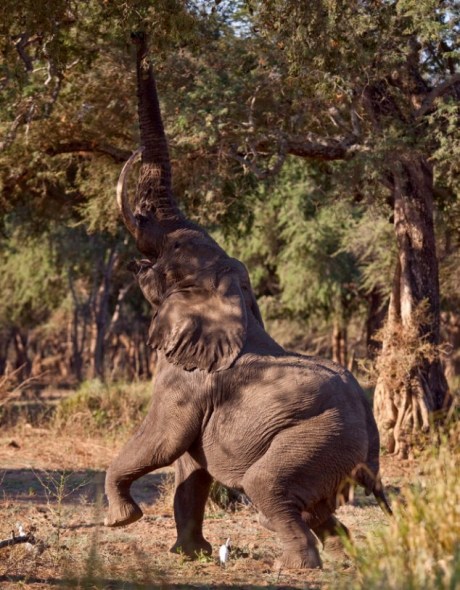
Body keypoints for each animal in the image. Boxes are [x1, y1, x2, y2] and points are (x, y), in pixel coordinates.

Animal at [102, 34, 390, 572]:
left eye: (172, 256)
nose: (138, 33)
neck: (234, 297)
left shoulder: (184, 384)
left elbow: (160, 443)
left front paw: (119, 521)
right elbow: (190, 470)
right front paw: (188, 555)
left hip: (314, 438)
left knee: (269, 488)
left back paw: (297, 567)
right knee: (318, 509)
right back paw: (352, 562)